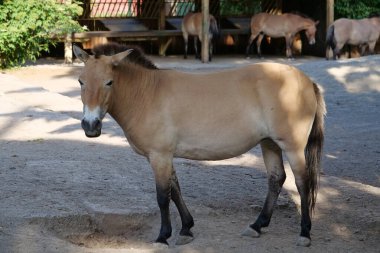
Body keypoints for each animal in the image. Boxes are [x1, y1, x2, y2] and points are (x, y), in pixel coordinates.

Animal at [72, 42, 326, 248]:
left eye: (109, 82)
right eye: (81, 81)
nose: (90, 126)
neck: (147, 93)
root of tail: (307, 81)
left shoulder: (159, 156)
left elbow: (163, 196)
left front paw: (163, 236)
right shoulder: (164, 156)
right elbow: (175, 189)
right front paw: (186, 228)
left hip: (292, 147)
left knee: (302, 183)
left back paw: (304, 233)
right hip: (269, 143)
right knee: (276, 179)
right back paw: (257, 226)